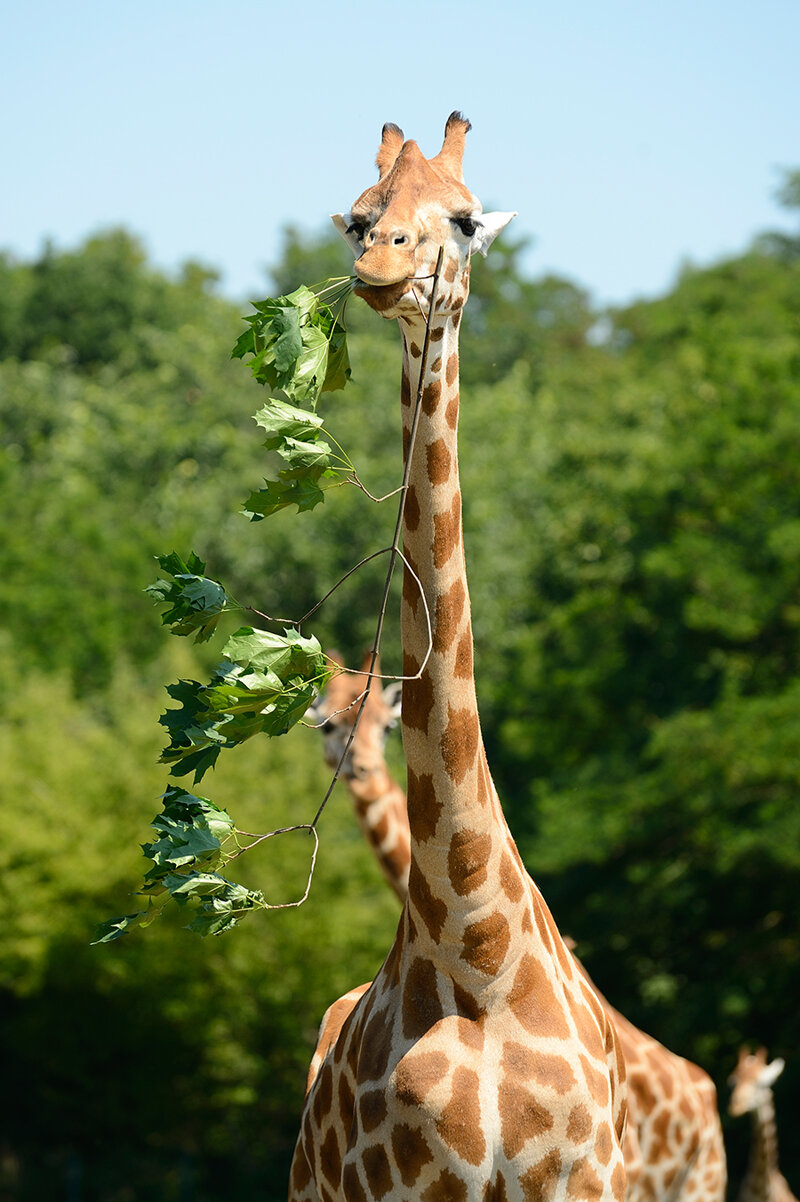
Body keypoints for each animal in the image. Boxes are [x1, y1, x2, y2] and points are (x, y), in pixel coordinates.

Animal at [288, 113, 628, 1202]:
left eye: (465, 220)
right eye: (360, 215)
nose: (381, 265)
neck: (472, 945)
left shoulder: (587, 1180)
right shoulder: (404, 1187)